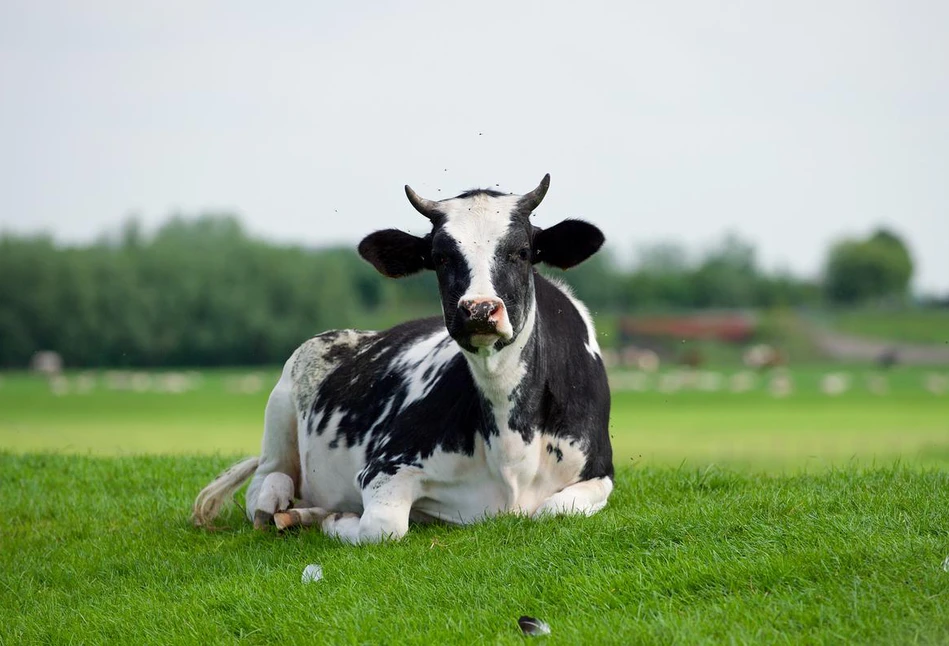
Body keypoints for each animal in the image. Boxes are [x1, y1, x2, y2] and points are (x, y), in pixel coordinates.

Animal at [191, 175, 616, 544]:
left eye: (523, 252)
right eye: (440, 257)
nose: (479, 310)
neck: (512, 445)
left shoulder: (600, 473)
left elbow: (554, 509)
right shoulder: (384, 468)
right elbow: (382, 526)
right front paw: (335, 520)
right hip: (278, 422)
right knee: (266, 487)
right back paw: (287, 509)